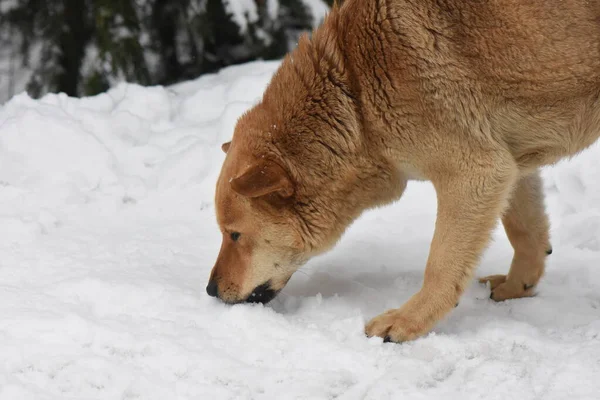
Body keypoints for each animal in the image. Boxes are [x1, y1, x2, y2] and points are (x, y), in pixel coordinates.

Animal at [206, 0, 600, 342]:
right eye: (224, 234)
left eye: (234, 235)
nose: (209, 290)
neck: (356, 95)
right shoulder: (510, 164)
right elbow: (527, 236)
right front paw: (518, 288)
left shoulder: (475, 173)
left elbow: (440, 267)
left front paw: (407, 322)